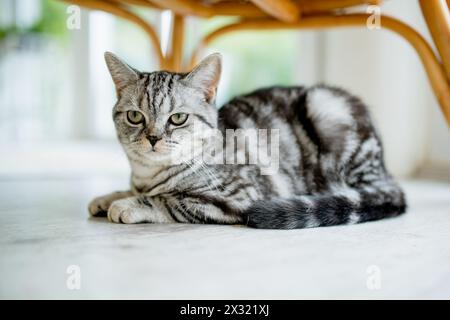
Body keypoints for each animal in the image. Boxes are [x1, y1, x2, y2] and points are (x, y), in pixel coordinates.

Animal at [86, 51, 406, 229]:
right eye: (135, 117)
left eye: (178, 118)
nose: (153, 138)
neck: (148, 175)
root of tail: (384, 169)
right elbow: (131, 189)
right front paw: (109, 197)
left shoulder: (237, 195)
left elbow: (168, 199)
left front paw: (129, 204)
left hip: (326, 109)